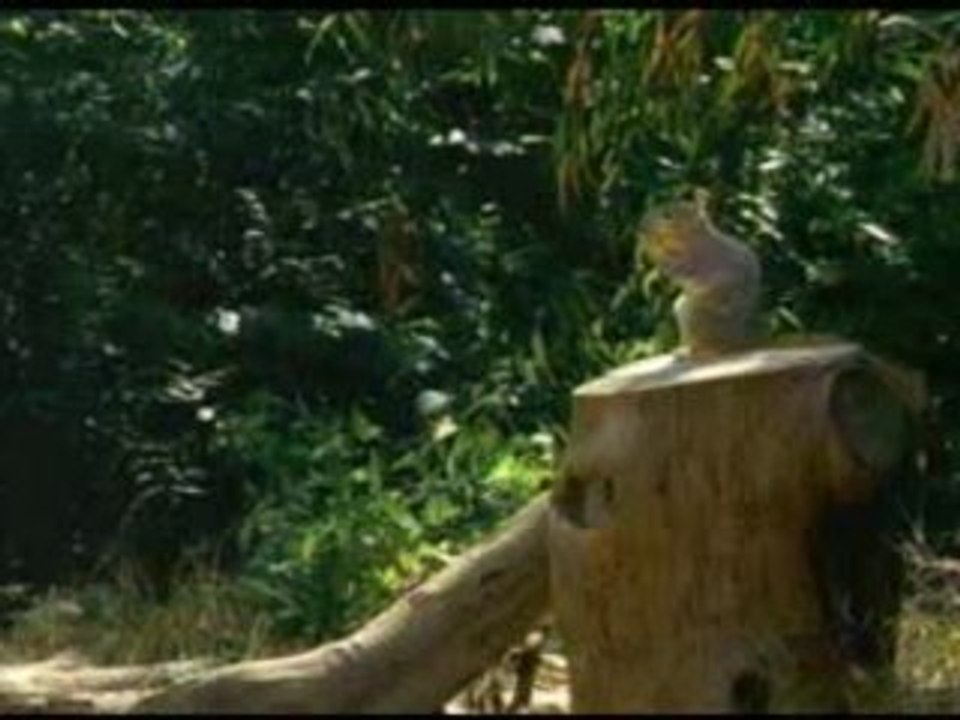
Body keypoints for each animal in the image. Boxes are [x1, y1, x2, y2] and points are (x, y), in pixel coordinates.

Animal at [638, 189, 763, 359]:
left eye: (667, 215)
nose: (642, 226)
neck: (693, 235)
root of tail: (735, 341)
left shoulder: (695, 260)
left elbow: (673, 267)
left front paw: (648, 242)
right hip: (683, 308)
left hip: (695, 315)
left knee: (708, 347)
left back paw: (690, 352)